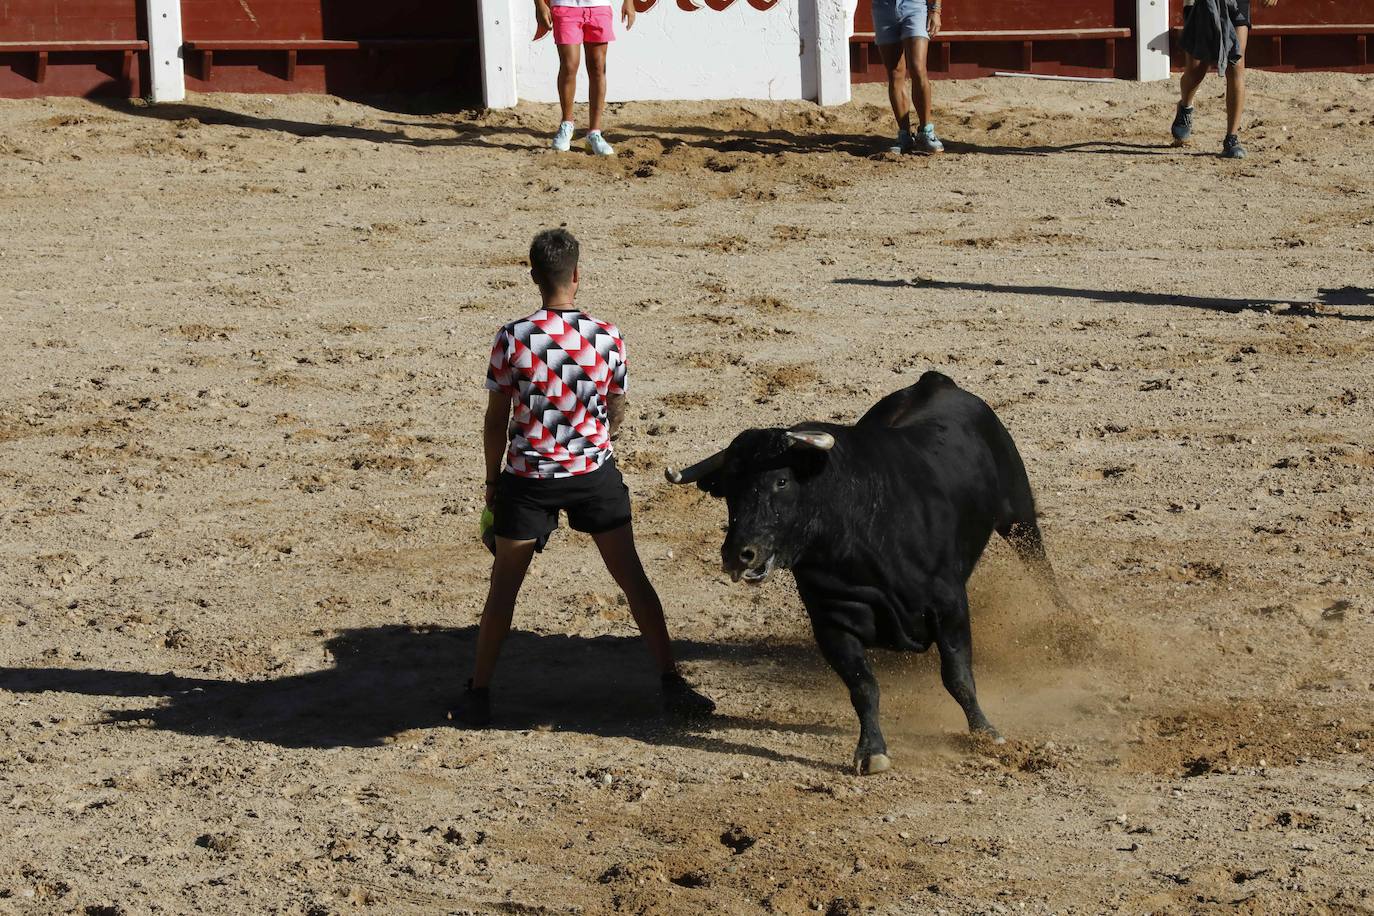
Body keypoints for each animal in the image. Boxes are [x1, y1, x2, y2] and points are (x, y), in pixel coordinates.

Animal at [670, 370, 1066, 774]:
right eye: (729, 490)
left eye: (781, 481)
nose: (739, 555)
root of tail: (937, 381)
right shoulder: (832, 624)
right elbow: (863, 686)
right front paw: (872, 750)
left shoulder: (950, 604)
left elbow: (957, 675)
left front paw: (986, 732)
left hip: (1016, 512)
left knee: (1039, 562)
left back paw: (1070, 624)